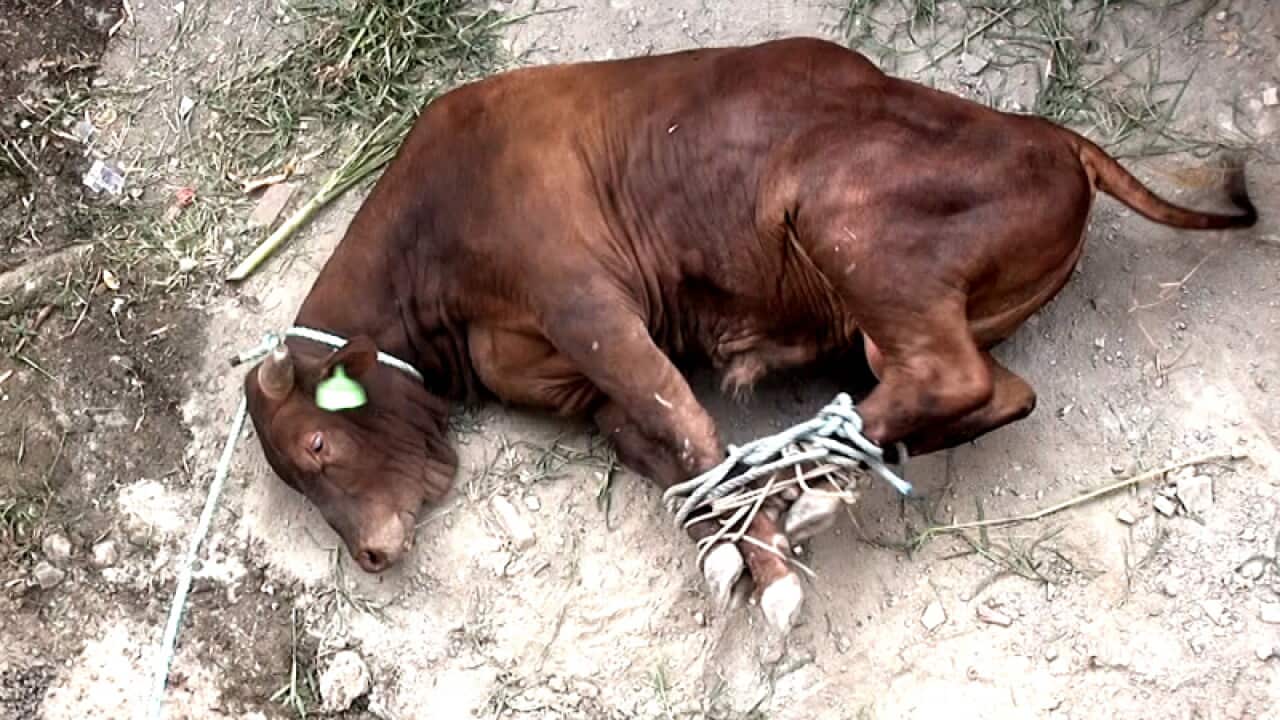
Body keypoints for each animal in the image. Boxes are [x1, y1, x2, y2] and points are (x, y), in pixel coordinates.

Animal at [240, 37, 1256, 633]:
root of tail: (1056, 137)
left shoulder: (587, 304)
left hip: (851, 223)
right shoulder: (582, 386)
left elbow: (686, 425)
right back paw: (830, 473)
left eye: (319, 445)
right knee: (994, 391)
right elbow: (673, 457)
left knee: (948, 376)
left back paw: (808, 472)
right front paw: (737, 548)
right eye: (295, 478)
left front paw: (773, 572)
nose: (371, 554)